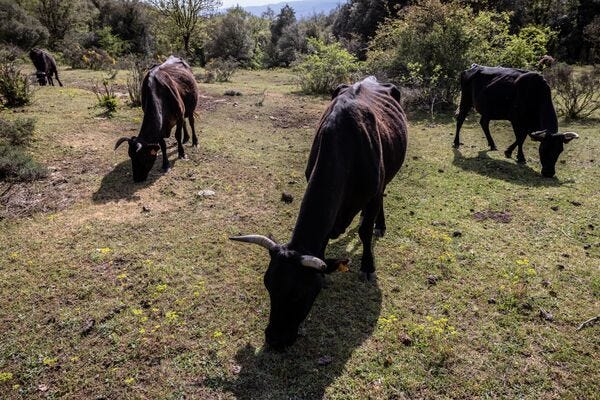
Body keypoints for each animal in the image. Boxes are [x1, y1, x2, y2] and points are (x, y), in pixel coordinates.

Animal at [230, 76, 408, 350]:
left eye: (302, 293)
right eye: (268, 284)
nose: (275, 339)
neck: (346, 145)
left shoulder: (374, 192)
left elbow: (364, 231)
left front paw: (368, 265)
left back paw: (380, 224)